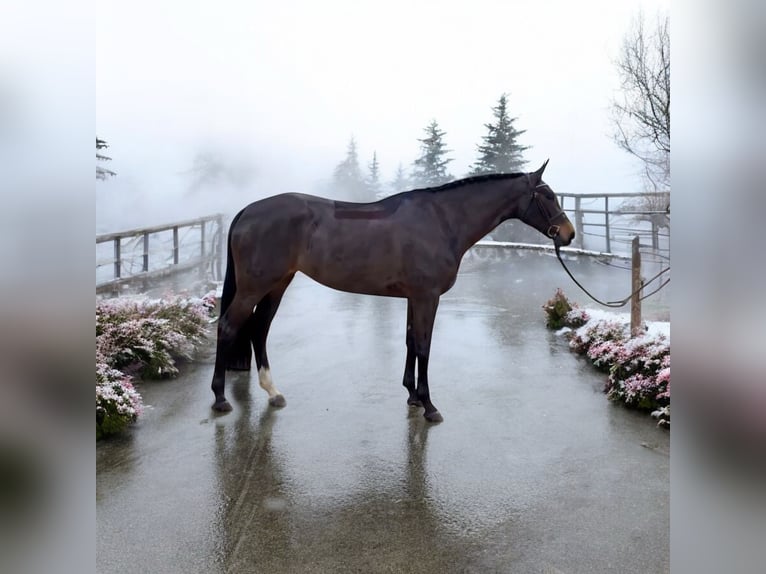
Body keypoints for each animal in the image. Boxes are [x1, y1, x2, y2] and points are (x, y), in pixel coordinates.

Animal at [210, 161, 576, 424]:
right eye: (547, 196)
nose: (568, 234)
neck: (442, 221)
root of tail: (247, 211)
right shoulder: (427, 297)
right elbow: (424, 346)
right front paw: (429, 406)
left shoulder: (415, 298)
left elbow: (411, 341)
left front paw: (412, 396)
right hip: (255, 287)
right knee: (228, 327)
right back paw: (220, 399)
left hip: (277, 284)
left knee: (259, 329)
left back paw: (273, 392)